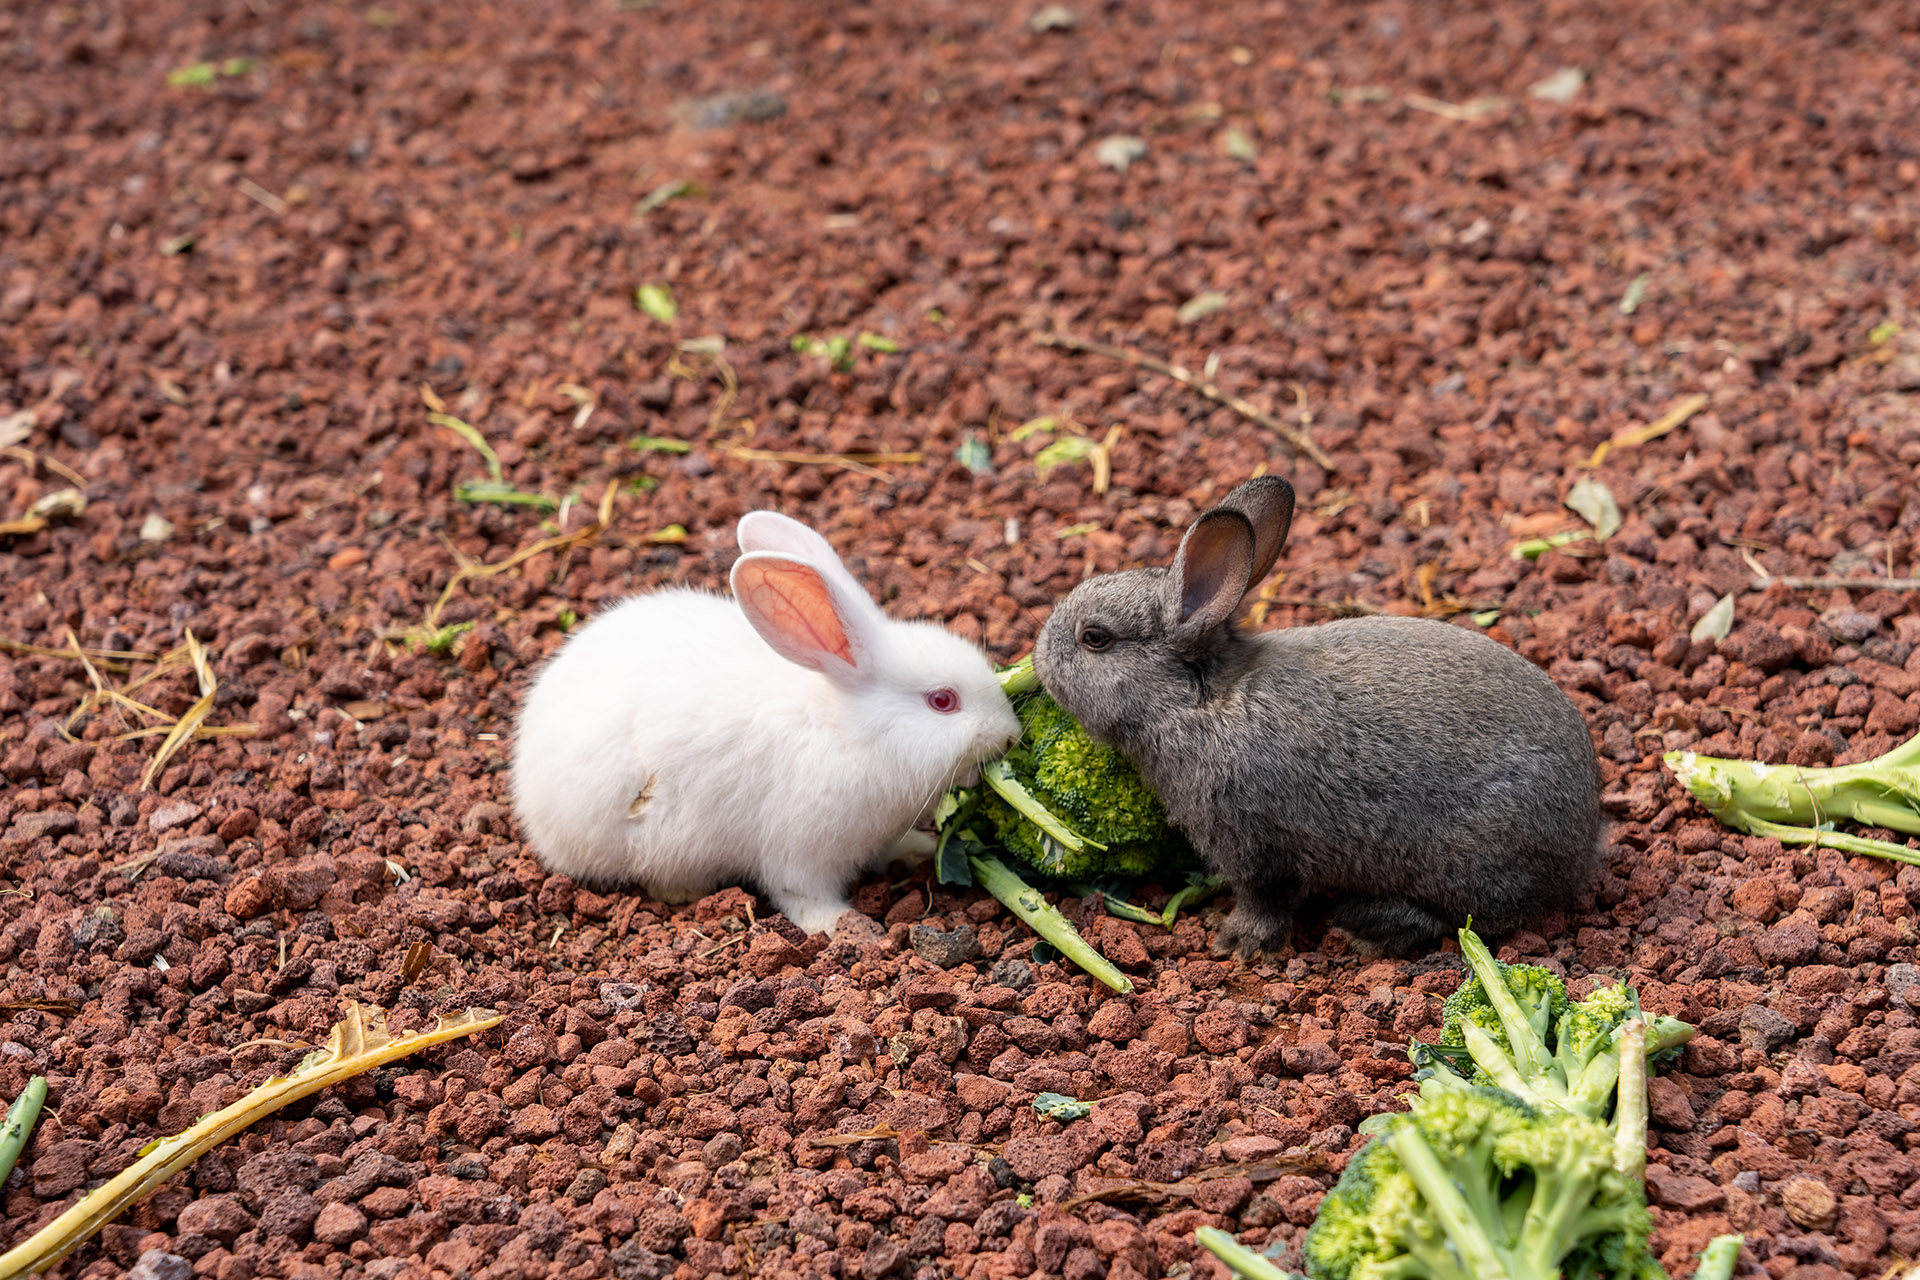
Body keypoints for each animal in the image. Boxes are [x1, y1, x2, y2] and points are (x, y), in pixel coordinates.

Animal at [510, 514, 1021, 936]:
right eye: (943, 701)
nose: (1011, 734)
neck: (850, 731)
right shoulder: (802, 851)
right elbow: (802, 895)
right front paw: (844, 927)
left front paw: (916, 848)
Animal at [1036, 475, 1605, 955]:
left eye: (1095, 638)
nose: (1038, 656)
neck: (1203, 702)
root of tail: (1583, 842)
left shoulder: (1260, 844)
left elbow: (1266, 900)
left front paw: (1236, 942)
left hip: (1461, 861)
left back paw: (1364, 928)